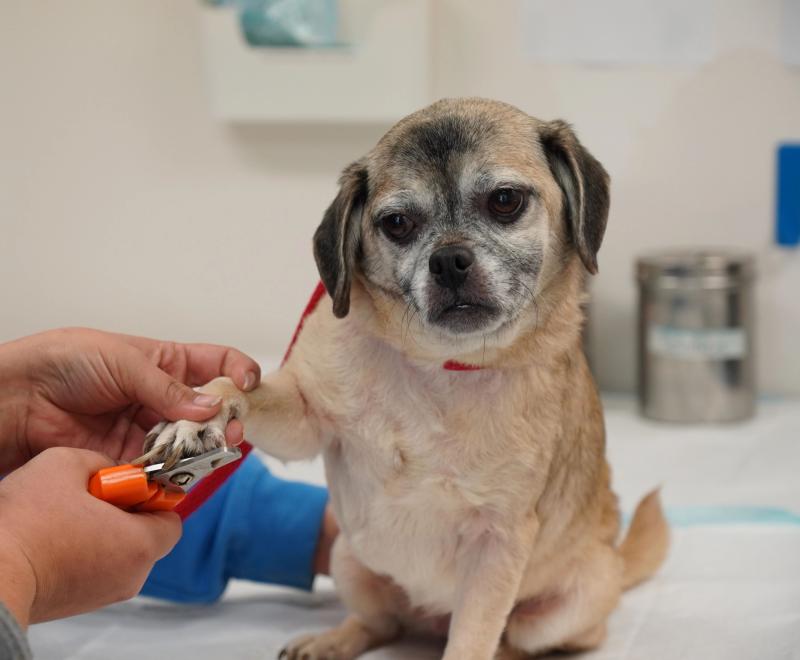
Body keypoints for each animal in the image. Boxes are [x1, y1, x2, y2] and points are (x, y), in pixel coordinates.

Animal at [144, 99, 668, 660]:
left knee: (512, 640)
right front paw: (197, 418)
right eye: (397, 223)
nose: (449, 259)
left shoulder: (498, 544)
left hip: (565, 607)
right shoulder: (305, 420)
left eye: (505, 201)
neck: (441, 368)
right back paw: (333, 640)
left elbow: (472, 642)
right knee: (380, 624)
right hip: (348, 559)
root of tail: (430, 618)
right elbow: (238, 389)